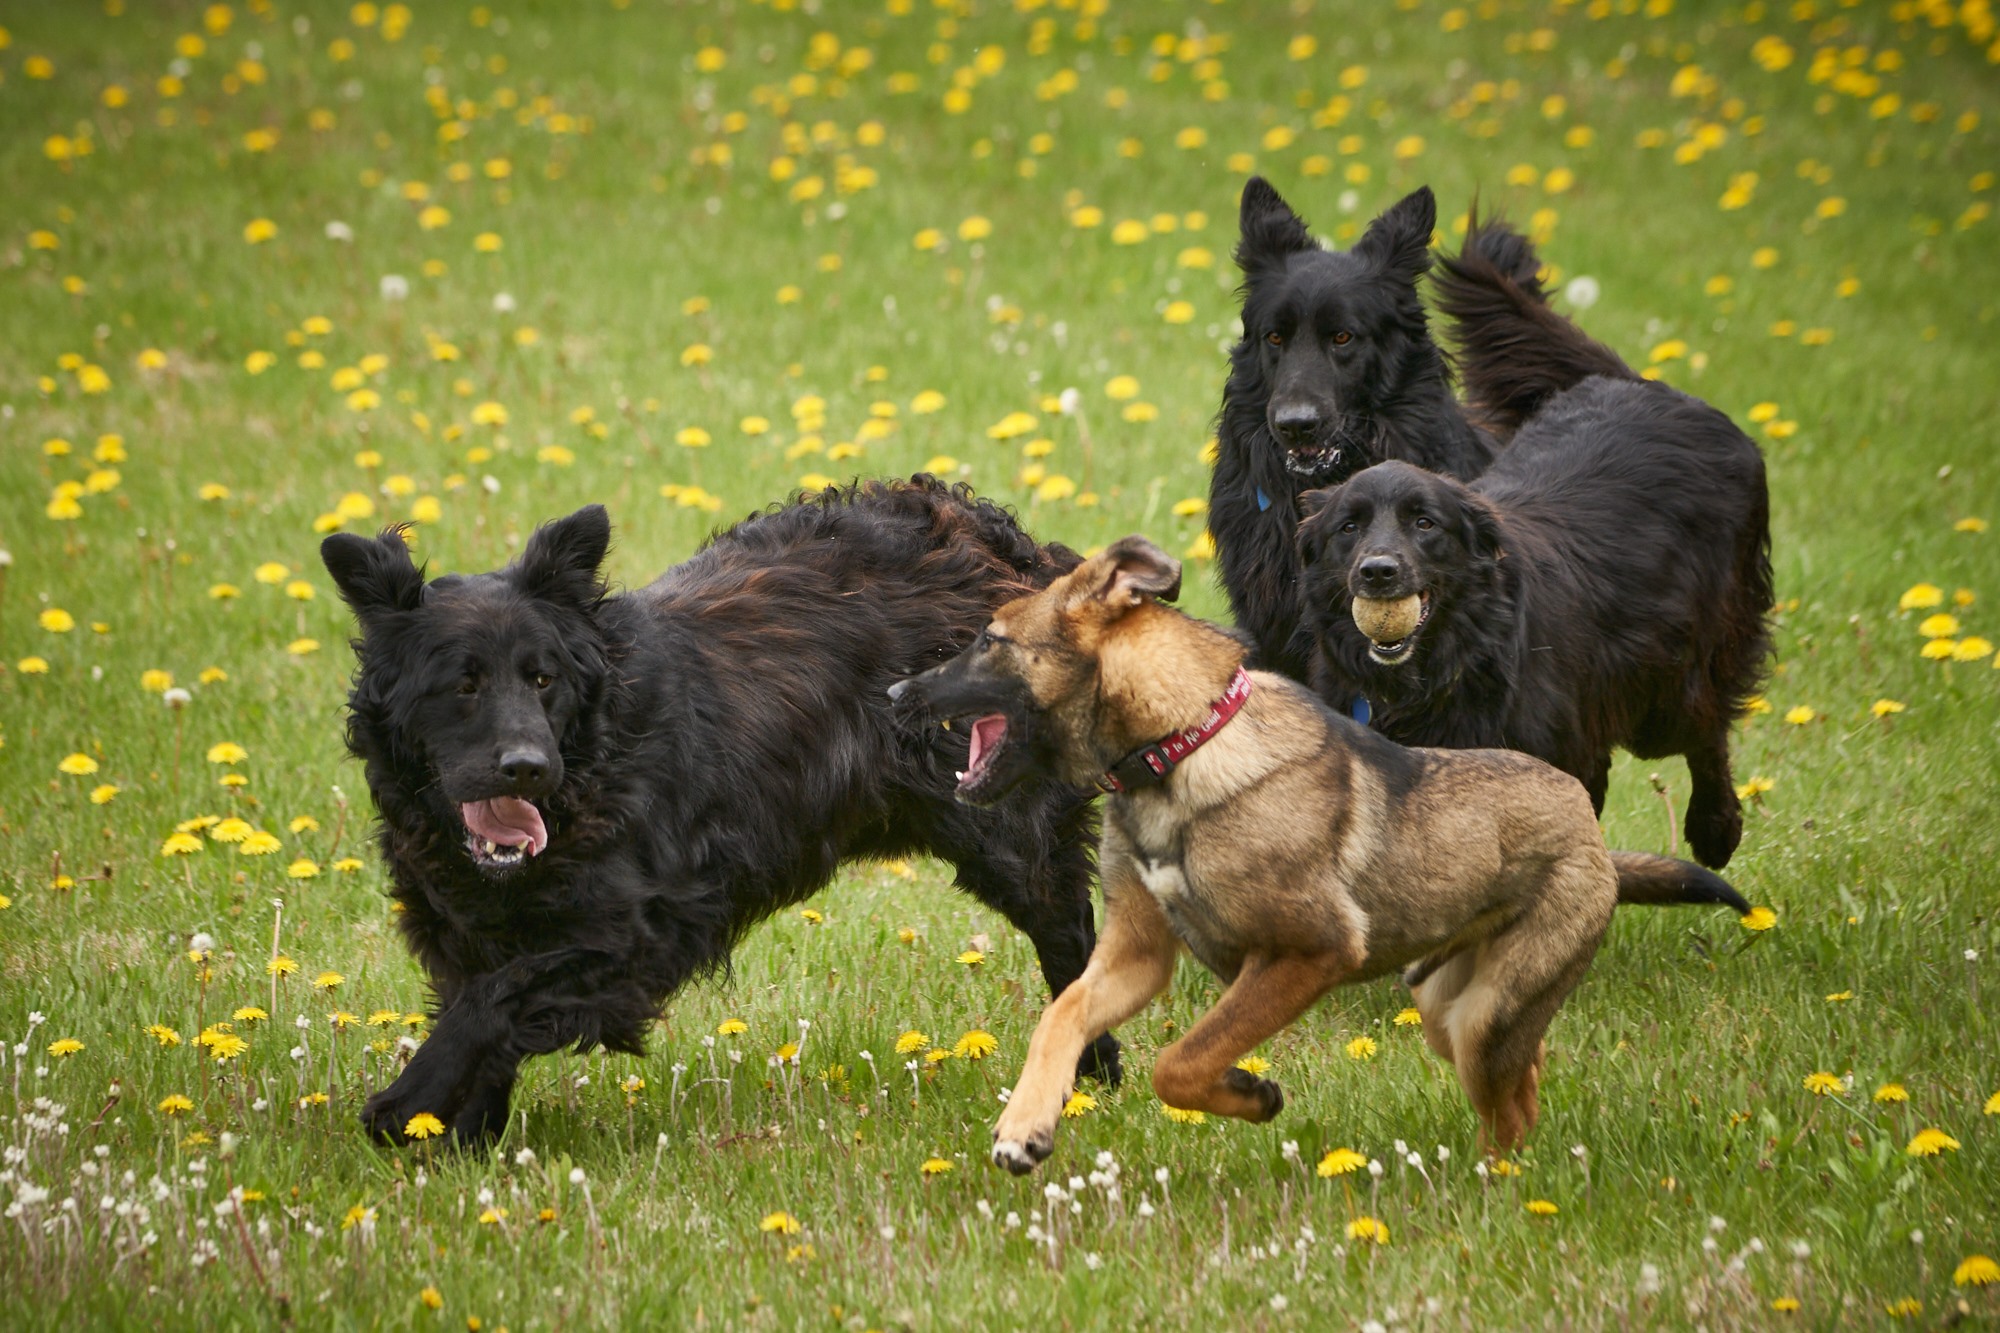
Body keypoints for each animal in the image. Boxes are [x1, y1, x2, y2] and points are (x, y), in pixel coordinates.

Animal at [320, 472, 1120, 1136]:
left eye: (543, 679)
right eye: (462, 685)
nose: (528, 768)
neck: (596, 761)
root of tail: (995, 535)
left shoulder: (634, 934)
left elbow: (496, 998)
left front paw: (407, 1102)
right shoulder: (464, 929)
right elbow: (481, 1006)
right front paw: (464, 1133)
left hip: (1004, 827)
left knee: (1071, 939)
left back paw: (1087, 1078)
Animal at [900, 532, 1712, 1176]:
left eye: (990, 640)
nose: (897, 689)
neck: (1181, 743)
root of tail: (1590, 831)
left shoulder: (1309, 951)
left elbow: (1181, 1061)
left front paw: (1249, 1094)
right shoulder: (1136, 954)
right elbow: (1061, 1015)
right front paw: (1025, 1126)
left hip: (1490, 1007)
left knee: (1508, 1110)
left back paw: (1498, 1188)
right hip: (1448, 1006)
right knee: (1523, 1076)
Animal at [1296, 223, 1768, 868]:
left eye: (1426, 524)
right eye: (1349, 527)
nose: (1378, 572)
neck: (1446, 663)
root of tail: (1641, 384)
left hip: (1675, 678)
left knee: (1707, 725)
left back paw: (1717, 827)